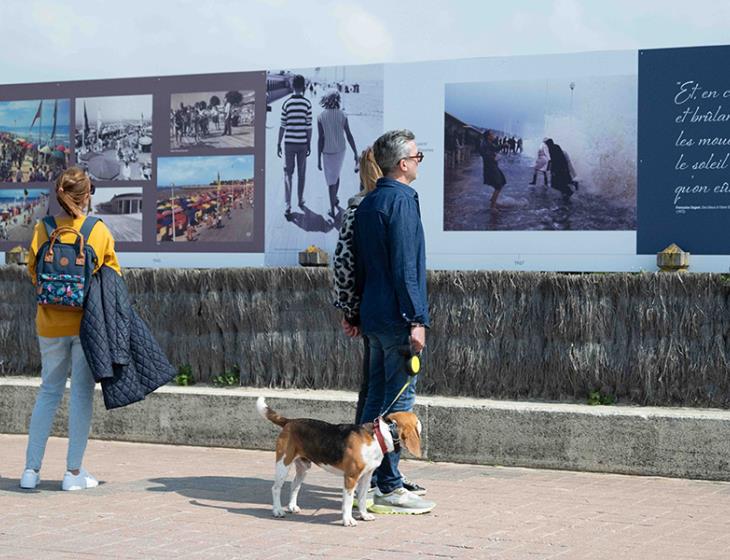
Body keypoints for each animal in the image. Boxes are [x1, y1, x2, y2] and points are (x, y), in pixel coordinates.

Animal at [256, 394, 420, 524]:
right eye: (418, 422)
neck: (379, 435)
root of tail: (289, 421)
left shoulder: (366, 477)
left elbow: (361, 498)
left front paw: (364, 515)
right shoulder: (351, 477)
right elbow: (348, 502)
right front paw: (348, 520)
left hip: (303, 468)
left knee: (294, 486)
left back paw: (292, 507)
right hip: (283, 464)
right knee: (276, 488)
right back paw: (277, 511)